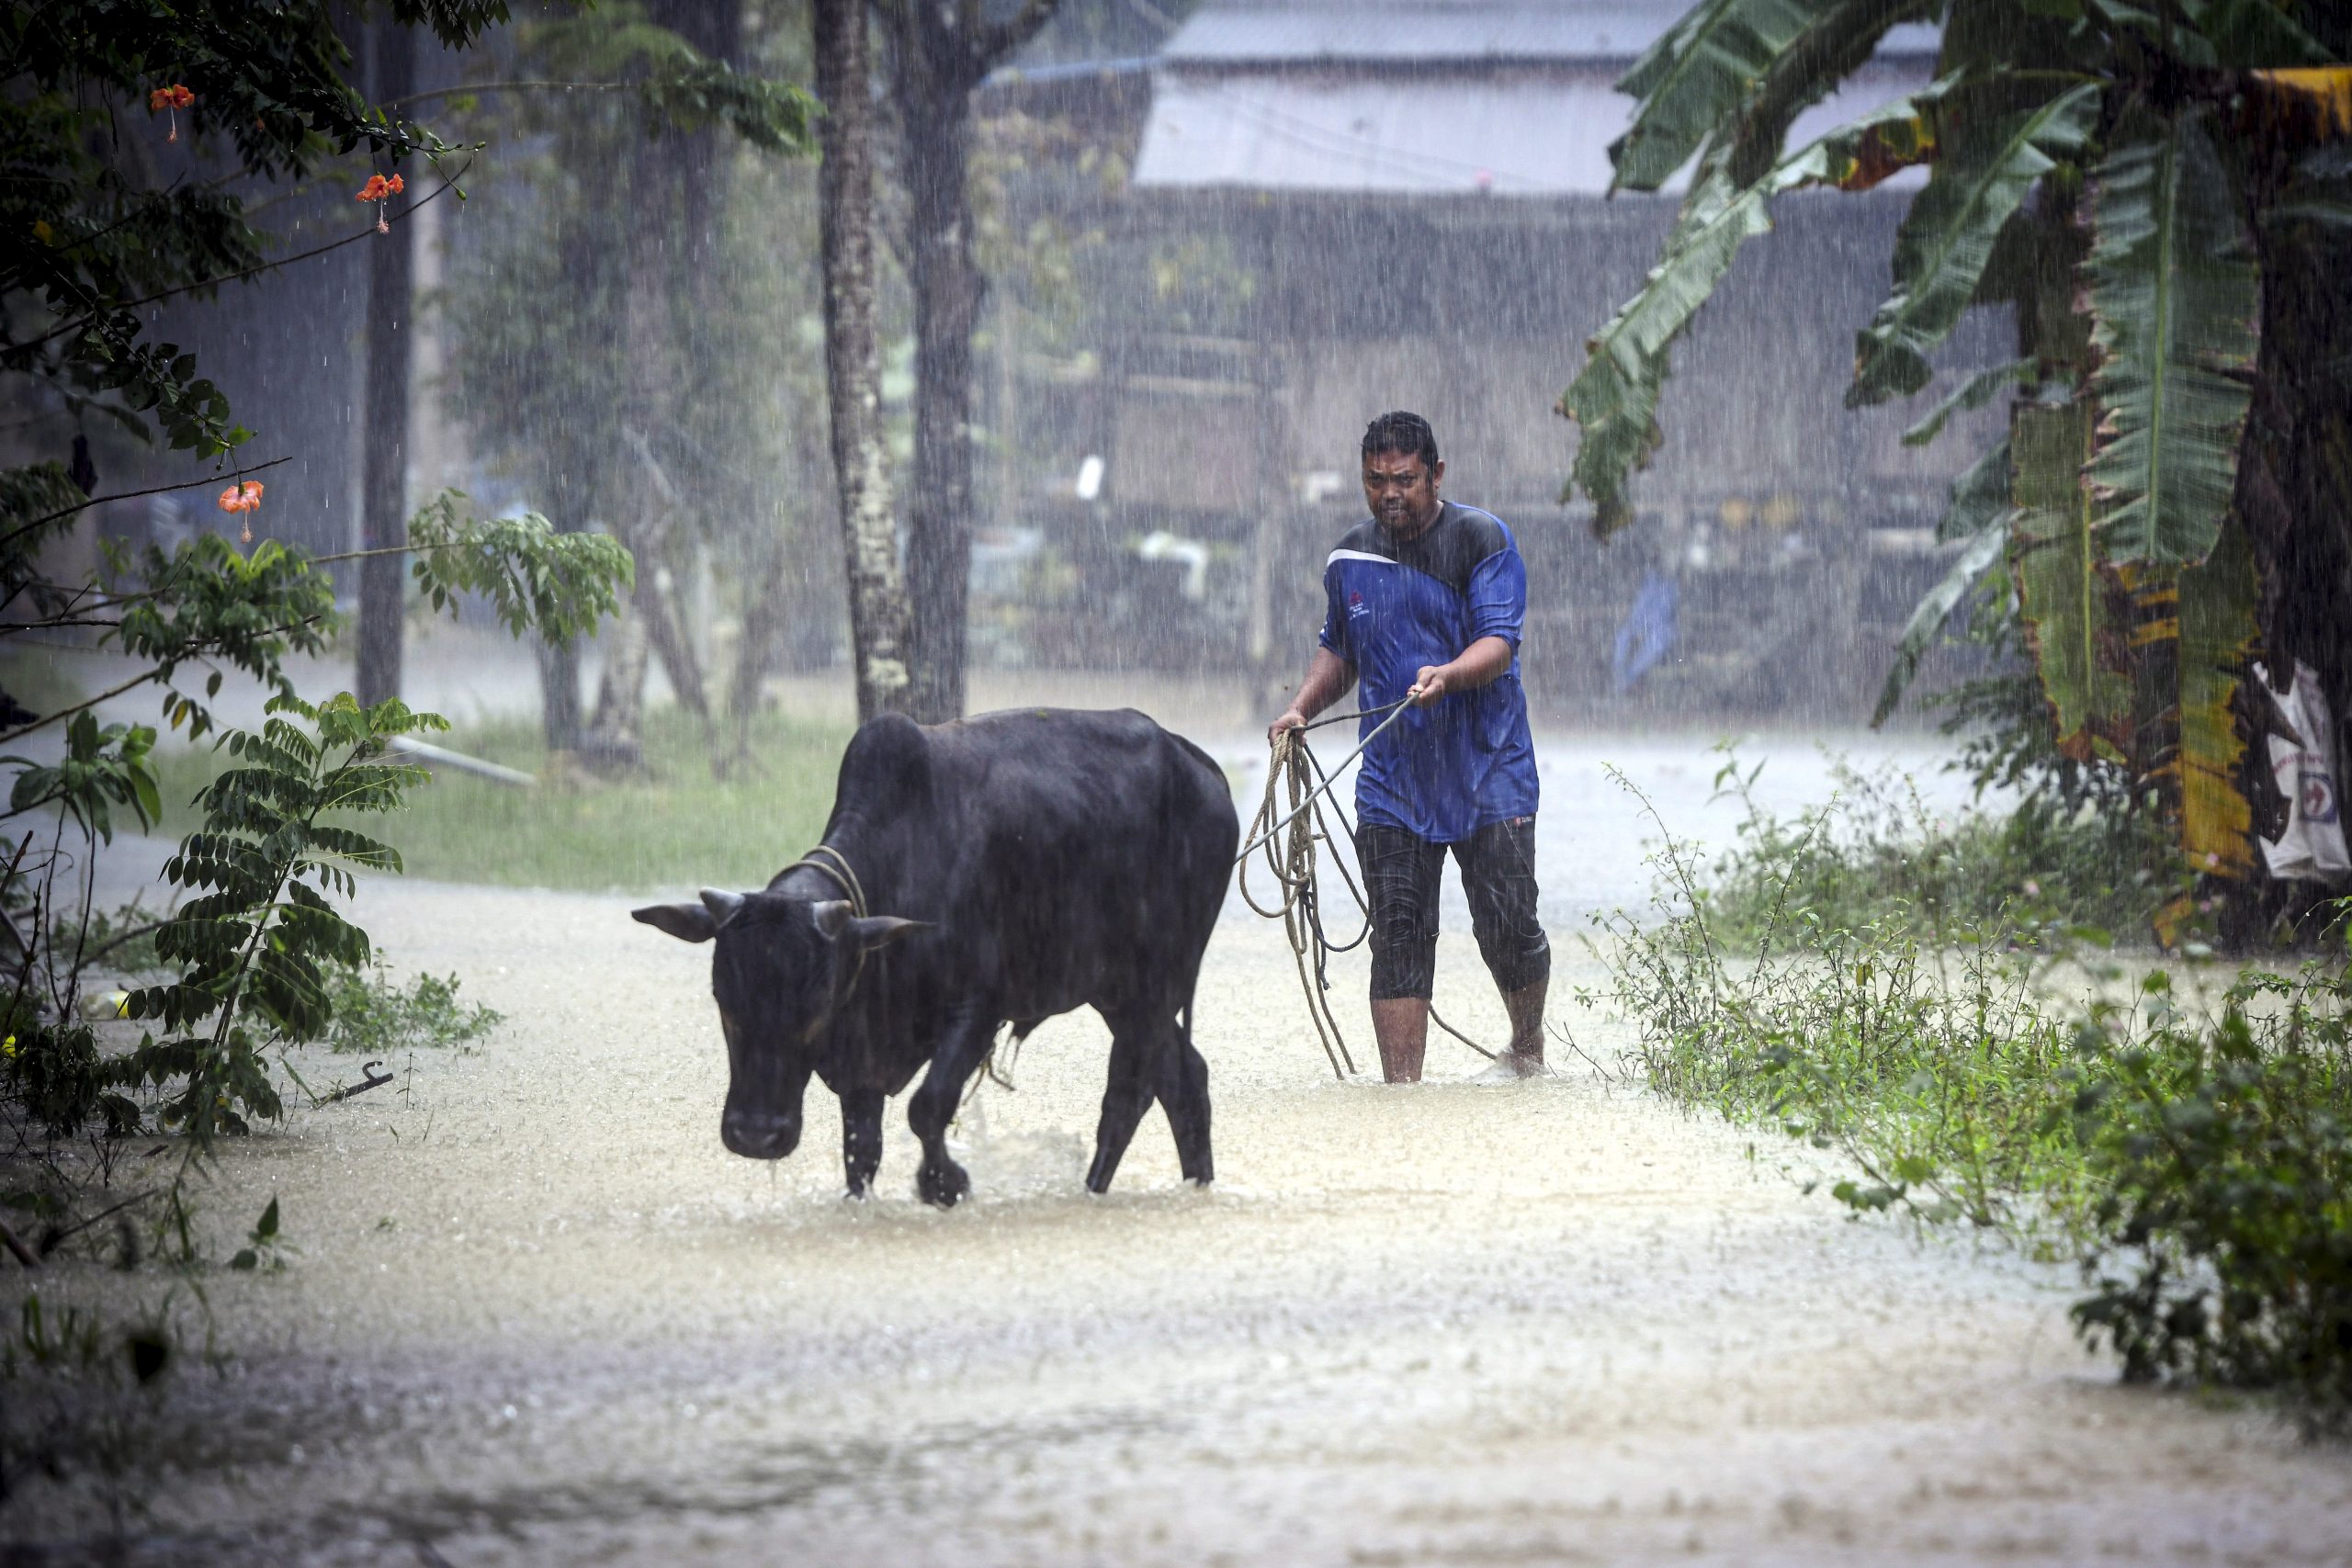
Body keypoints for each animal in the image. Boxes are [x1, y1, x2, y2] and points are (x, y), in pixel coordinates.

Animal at [625, 705, 1250, 1213]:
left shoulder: (978, 1010)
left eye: (815, 1004)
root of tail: (1202, 768)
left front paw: (946, 1184)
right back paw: (1193, 1183)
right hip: (1116, 992)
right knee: (1183, 1078)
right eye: (722, 998)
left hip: (1155, 981)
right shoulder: (861, 1067)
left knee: (1130, 1092)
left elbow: (926, 1108)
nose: (757, 1136)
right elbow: (861, 1152)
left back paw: (1093, 1191)